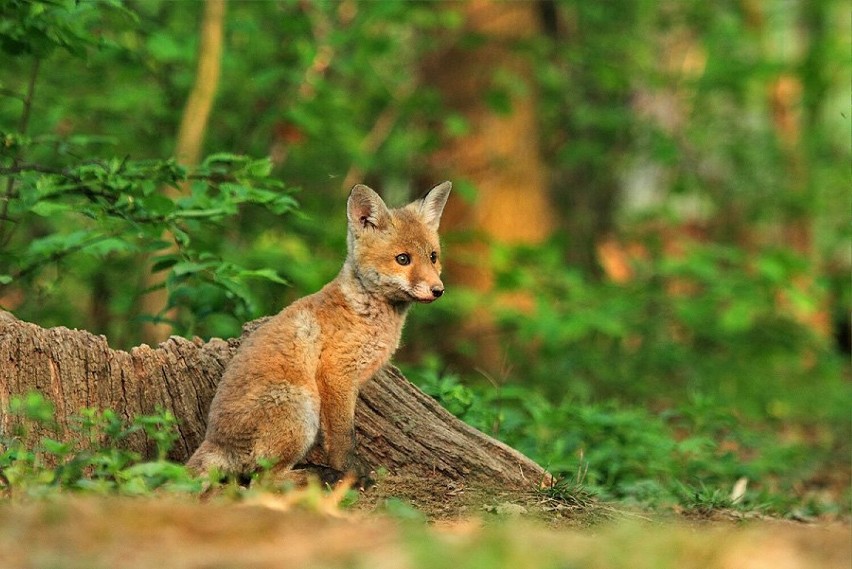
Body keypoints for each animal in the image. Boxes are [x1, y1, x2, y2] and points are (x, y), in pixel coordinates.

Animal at [187, 180, 452, 482]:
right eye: (403, 259)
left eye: (433, 257)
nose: (438, 290)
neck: (365, 311)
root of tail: (214, 440)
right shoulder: (335, 373)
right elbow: (343, 436)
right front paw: (349, 472)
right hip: (303, 405)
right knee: (261, 480)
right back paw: (315, 476)